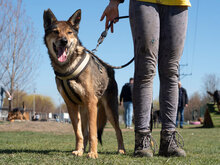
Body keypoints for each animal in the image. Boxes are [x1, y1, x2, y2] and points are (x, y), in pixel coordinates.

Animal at [43, 9, 124, 159]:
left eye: (69, 32)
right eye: (56, 32)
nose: (64, 41)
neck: (67, 67)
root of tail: (109, 69)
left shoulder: (91, 102)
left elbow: (93, 133)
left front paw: (93, 153)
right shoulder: (71, 105)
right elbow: (79, 133)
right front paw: (79, 150)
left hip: (109, 110)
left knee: (118, 130)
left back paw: (121, 150)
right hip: (84, 110)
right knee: (85, 133)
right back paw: (82, 150)